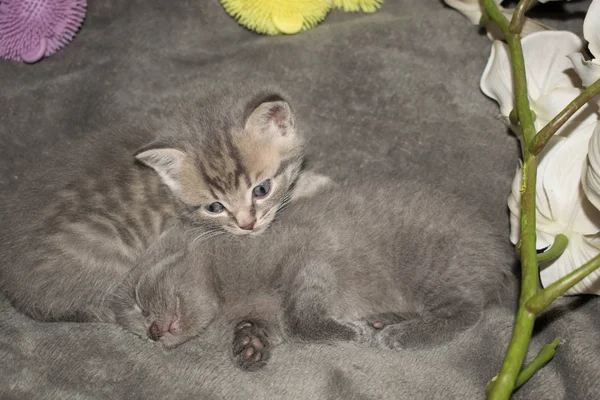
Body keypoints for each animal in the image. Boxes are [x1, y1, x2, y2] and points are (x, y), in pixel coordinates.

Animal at [111, 180, 510, 370]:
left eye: (139, 300)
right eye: (137, 327)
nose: (152, 332)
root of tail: (497, 251)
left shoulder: (310, 260)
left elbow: (298, 318)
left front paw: (348, 333)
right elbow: (271, 325)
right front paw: (249, 345)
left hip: (433, 264)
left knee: (465, 310)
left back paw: (400, 335)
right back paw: (383, 321)